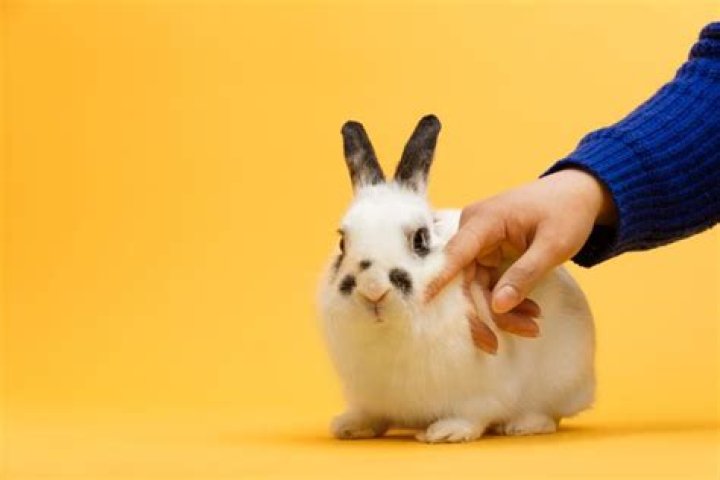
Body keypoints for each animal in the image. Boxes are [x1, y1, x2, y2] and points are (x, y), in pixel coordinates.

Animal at [318, 115, 595, 443]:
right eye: (342, 243)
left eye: (420, 239)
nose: (373, 289)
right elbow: (373, 415)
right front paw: (351, 426)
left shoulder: (483, 390)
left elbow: (472, 415)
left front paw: (446, 432)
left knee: (551, 414)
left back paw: (523, 425)